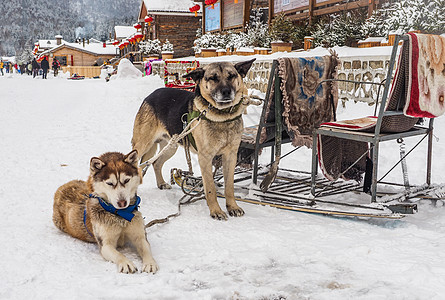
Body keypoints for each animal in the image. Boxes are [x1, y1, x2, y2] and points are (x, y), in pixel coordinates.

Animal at [132, 59, 255, 220]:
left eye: (231, 76)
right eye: (213, 78)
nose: (226, 92)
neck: (222, 116)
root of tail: (151, 95)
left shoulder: (230, 156)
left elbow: (229, 186)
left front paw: (232, 207)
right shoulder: (205, 158)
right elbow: (210, 188)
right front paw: (215, 211)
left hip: (171, 146)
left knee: (156, 163)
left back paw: (161, 183)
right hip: (142, 145)